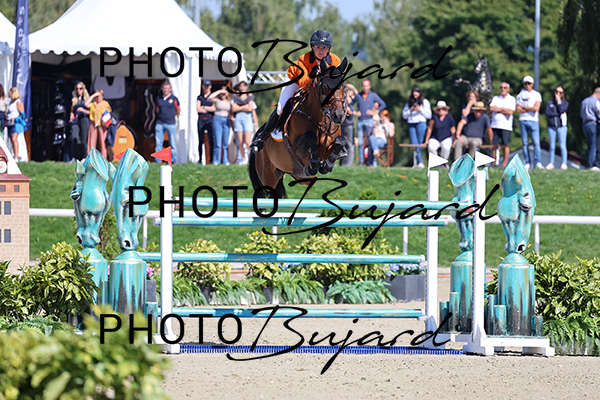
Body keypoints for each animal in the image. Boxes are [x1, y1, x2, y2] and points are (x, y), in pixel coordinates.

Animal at [249, 58, 349, 198]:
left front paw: (327, 165)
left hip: (298, 176)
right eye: (324, 86)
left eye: (344, 87)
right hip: (268, 175)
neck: (320, 120)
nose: (338, 116)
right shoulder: (297, 149)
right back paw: (258, 142)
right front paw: (314, 164)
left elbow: (340, 140)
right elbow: (310, 137)